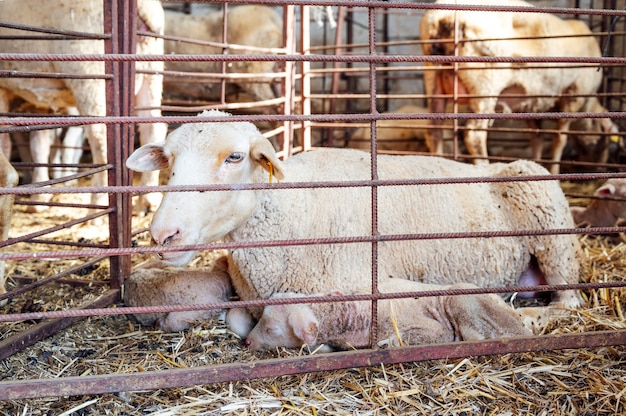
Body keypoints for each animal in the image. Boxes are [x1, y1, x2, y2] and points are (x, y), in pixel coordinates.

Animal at [0, 0, 167, 214]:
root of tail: (144, 9)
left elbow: (7, 143)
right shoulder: (37, 99)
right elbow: (40, 145)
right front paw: (40, 195)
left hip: (91, 76)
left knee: (101, 140)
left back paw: (98, 205)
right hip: (150, 72)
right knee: (153, 129)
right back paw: (148, 199)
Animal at [416, 0, 616, 174]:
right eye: (606, 139)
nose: (601, 167)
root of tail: (442, 17)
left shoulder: (533, 105)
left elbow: (537, 138)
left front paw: (536, 164)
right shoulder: (573, 95)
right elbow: (559, 139)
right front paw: (554, 171)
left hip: (433, 79)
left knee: (434, 130)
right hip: (485, 84)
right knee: (474, 135)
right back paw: (484, 166)